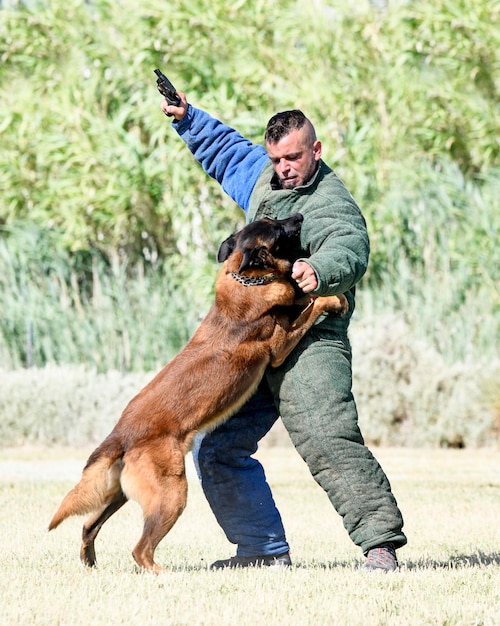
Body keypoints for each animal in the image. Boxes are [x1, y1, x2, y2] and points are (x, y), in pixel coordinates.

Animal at [49, 213, 348, 572]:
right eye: (277, 228)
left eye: (273, 220)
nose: (299, 216)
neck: (247, 280)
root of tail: (121, 433)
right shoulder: (279, 347)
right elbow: (312, 303)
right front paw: (334, 299)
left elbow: (305, 299)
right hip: (172, 495)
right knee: (140, 549)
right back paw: (162, 573)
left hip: (118, 494)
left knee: (88, 525)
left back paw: (90, 561)